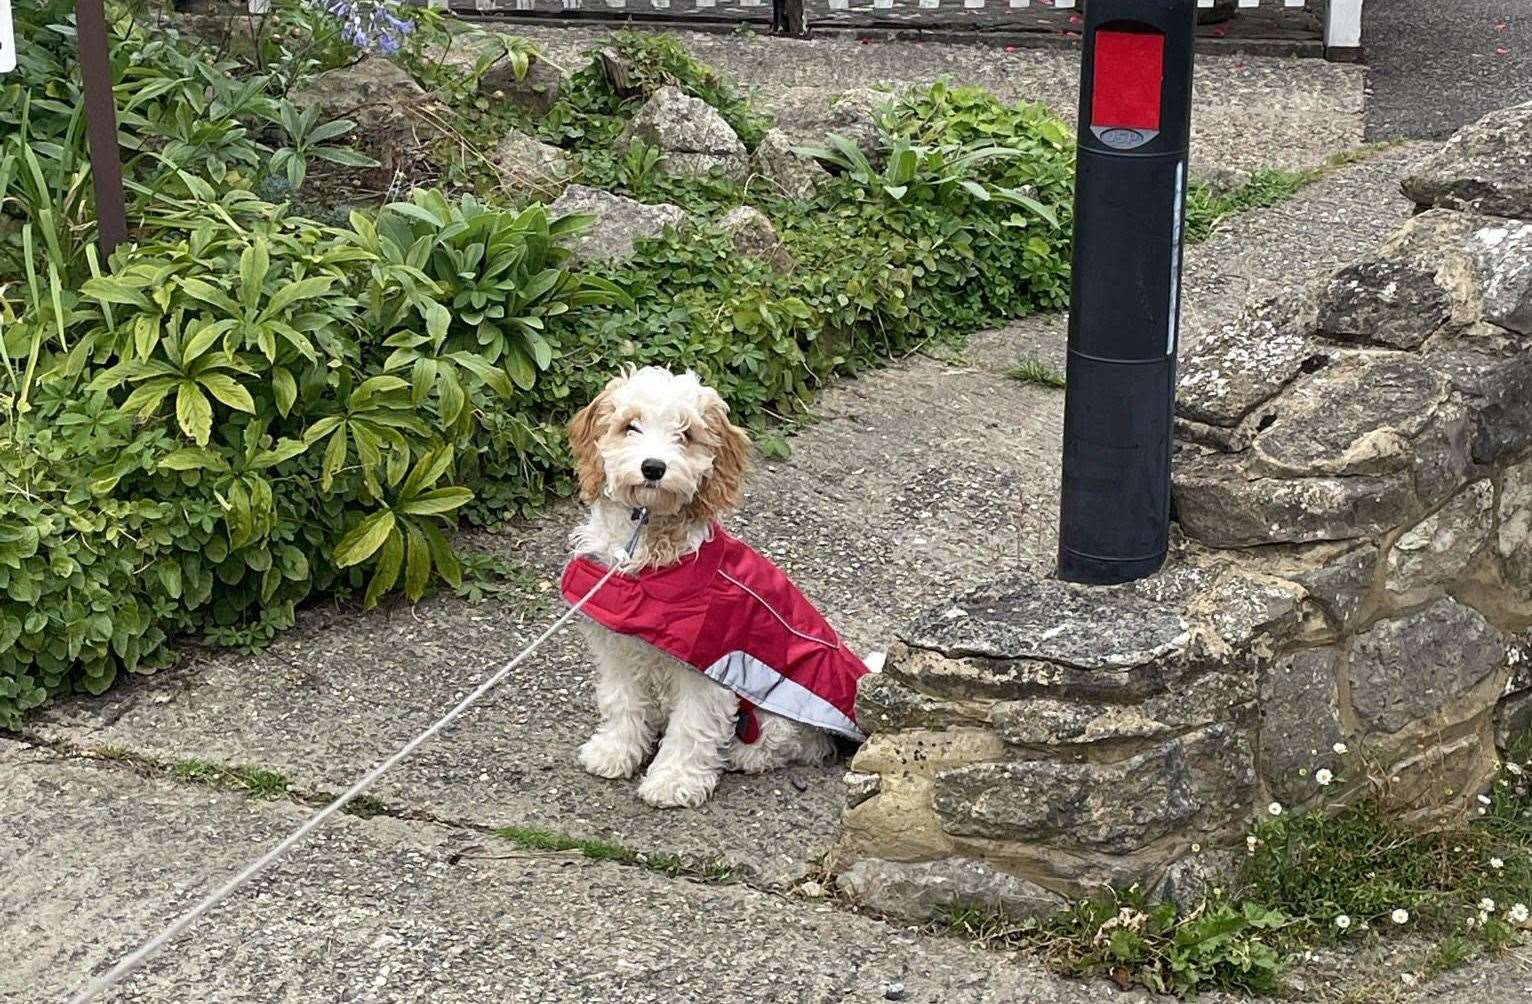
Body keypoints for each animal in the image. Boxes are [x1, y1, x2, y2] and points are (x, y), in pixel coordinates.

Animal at [563, 367, 882, 809]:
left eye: (686, 434)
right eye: (631, 426)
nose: (653, 467)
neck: (650, 550)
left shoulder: (711, 665)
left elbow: (692, 727)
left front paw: (673, 781)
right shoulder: (618, 650)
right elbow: (622, 700)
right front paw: (615, 751)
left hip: (780, 705)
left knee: (799, 742)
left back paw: (745, 754)